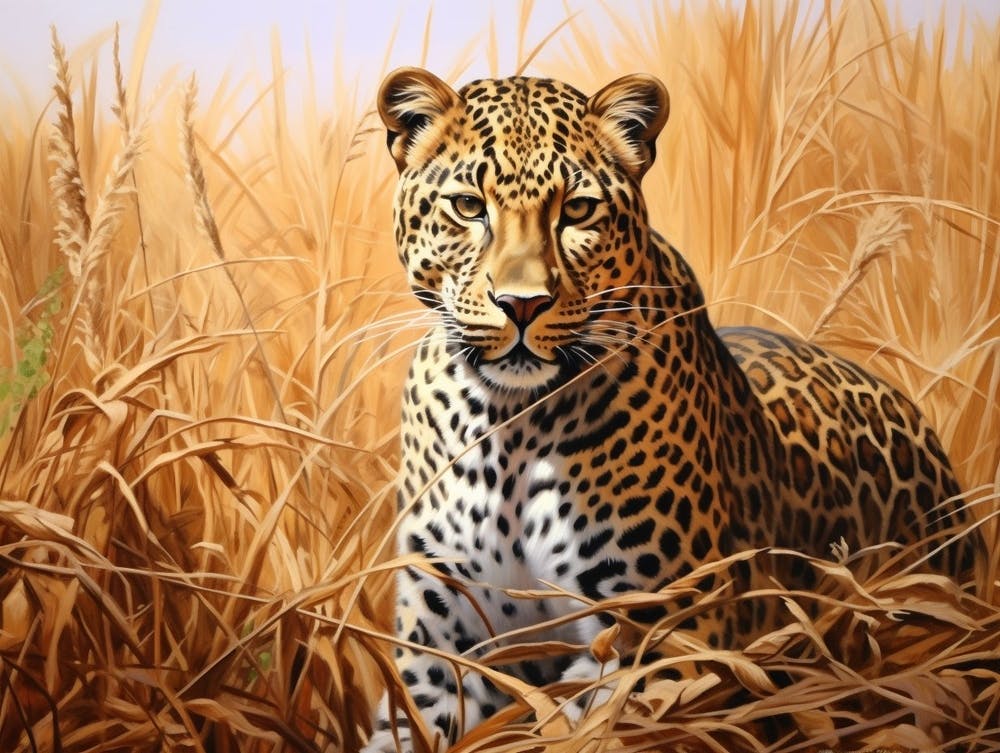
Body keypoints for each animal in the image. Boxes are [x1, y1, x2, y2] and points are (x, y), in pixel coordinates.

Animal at [361, 67, 979, 753]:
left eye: (577, 210)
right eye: (469, 207)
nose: (522, 304)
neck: (510, 424)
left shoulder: (665, 637)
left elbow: (590, 724)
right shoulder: (440, 640)